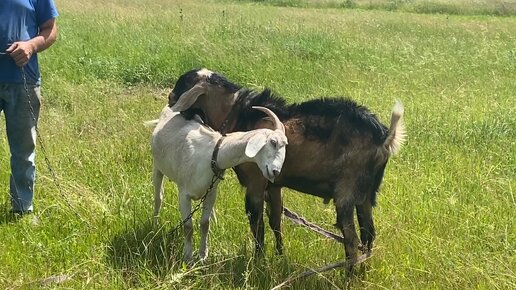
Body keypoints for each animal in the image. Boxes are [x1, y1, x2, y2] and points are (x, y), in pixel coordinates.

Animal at [147, 105, 288, 262]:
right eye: (273, 142)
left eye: (285, 145)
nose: (275, 171)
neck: (212, 154)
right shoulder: (184, 194)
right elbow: (188, 227)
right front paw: (188, 257)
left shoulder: (211, 193)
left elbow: (204, 224)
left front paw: (203, 255)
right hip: (157, 167)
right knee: (158, 197)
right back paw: (154, 225)